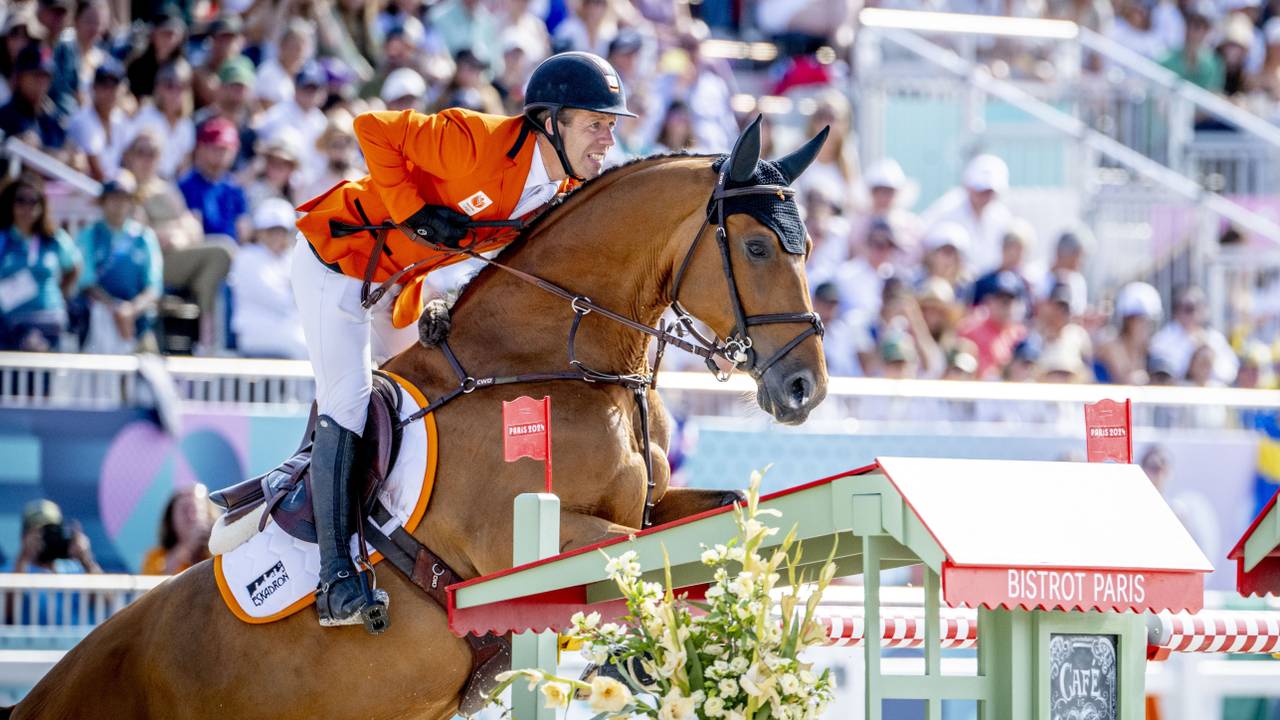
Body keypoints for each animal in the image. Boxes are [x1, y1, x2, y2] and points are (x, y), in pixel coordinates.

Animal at [7, 114, 829, 712]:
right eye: (757, 248)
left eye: (807, 246)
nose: (805, 390)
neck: (559, 360)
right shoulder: (520, 539)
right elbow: (641, 563)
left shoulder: (654, 505)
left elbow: (725, 528)